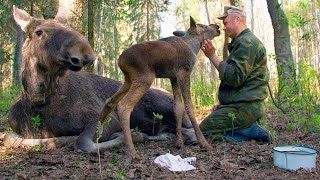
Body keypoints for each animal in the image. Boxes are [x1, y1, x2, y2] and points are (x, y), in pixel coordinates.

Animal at [4, 5, 192, 152]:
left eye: (67, 27)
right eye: (39, 32)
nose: (84, 53)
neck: (38, 104)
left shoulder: (105, 118)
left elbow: (82, 141)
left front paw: (133, 135)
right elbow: (11, 138)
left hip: (163, 102)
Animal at [99, 16, 220, 158]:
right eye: (204, 26)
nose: (217, 27)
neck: (194, 46)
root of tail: (119, 61)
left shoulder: (173, 77)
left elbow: (178, 108)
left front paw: (179, 143)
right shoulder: (184, 73)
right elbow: (189, 107)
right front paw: (204, 143)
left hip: (128, 80)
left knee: (110, 101)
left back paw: (98, 134)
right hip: (145, 78)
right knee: (124, 105)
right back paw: (132, 151)